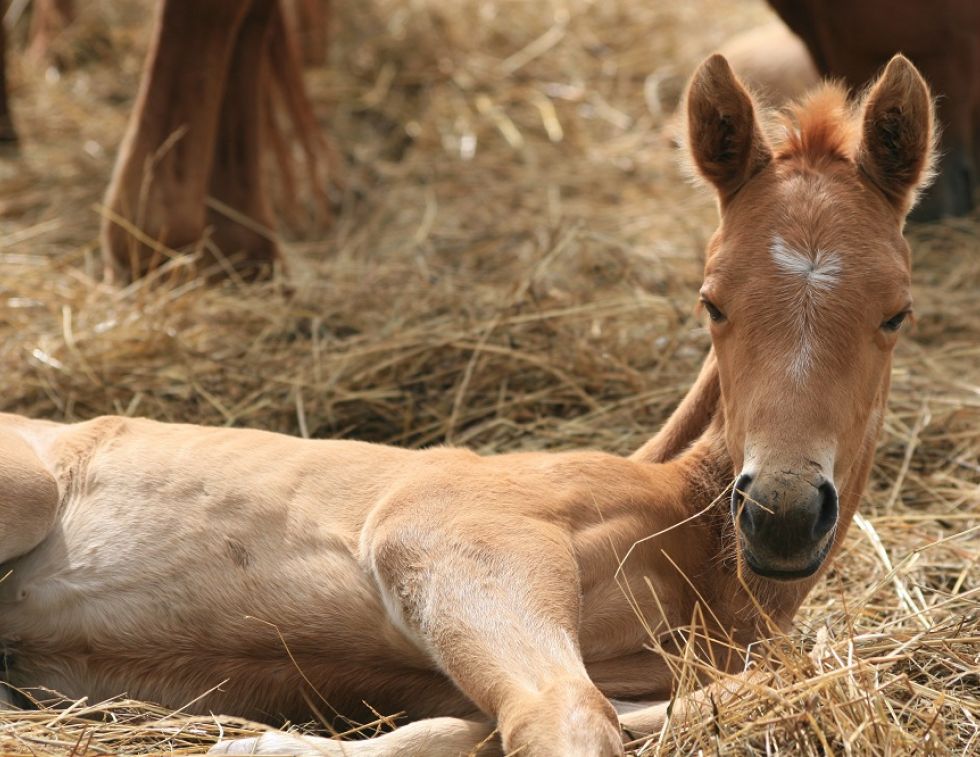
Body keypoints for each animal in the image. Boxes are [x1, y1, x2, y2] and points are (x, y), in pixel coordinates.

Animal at [0, 53, 934, 756]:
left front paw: (259, 741)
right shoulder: (452, 538)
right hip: (28, 490)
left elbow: (482, 725)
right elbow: (562, 716)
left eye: (897, 312)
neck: (688, 533)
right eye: (712, 301)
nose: (782, 513)